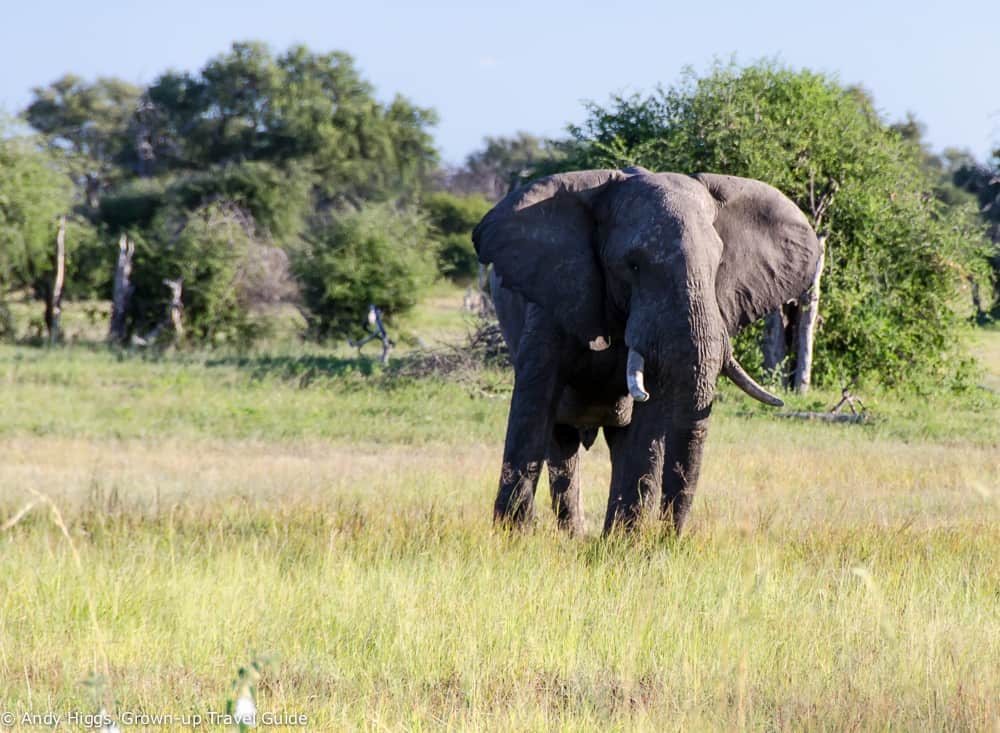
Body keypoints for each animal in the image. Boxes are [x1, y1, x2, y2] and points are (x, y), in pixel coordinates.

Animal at [472, 167, 822, 534]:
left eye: (718, 266)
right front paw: (512, 538)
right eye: (634, 266)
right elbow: (533, 403)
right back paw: (573, 536)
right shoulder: (552, 296)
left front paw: (622, 543)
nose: (670, 535)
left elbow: (650, 420)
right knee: (562, 439)